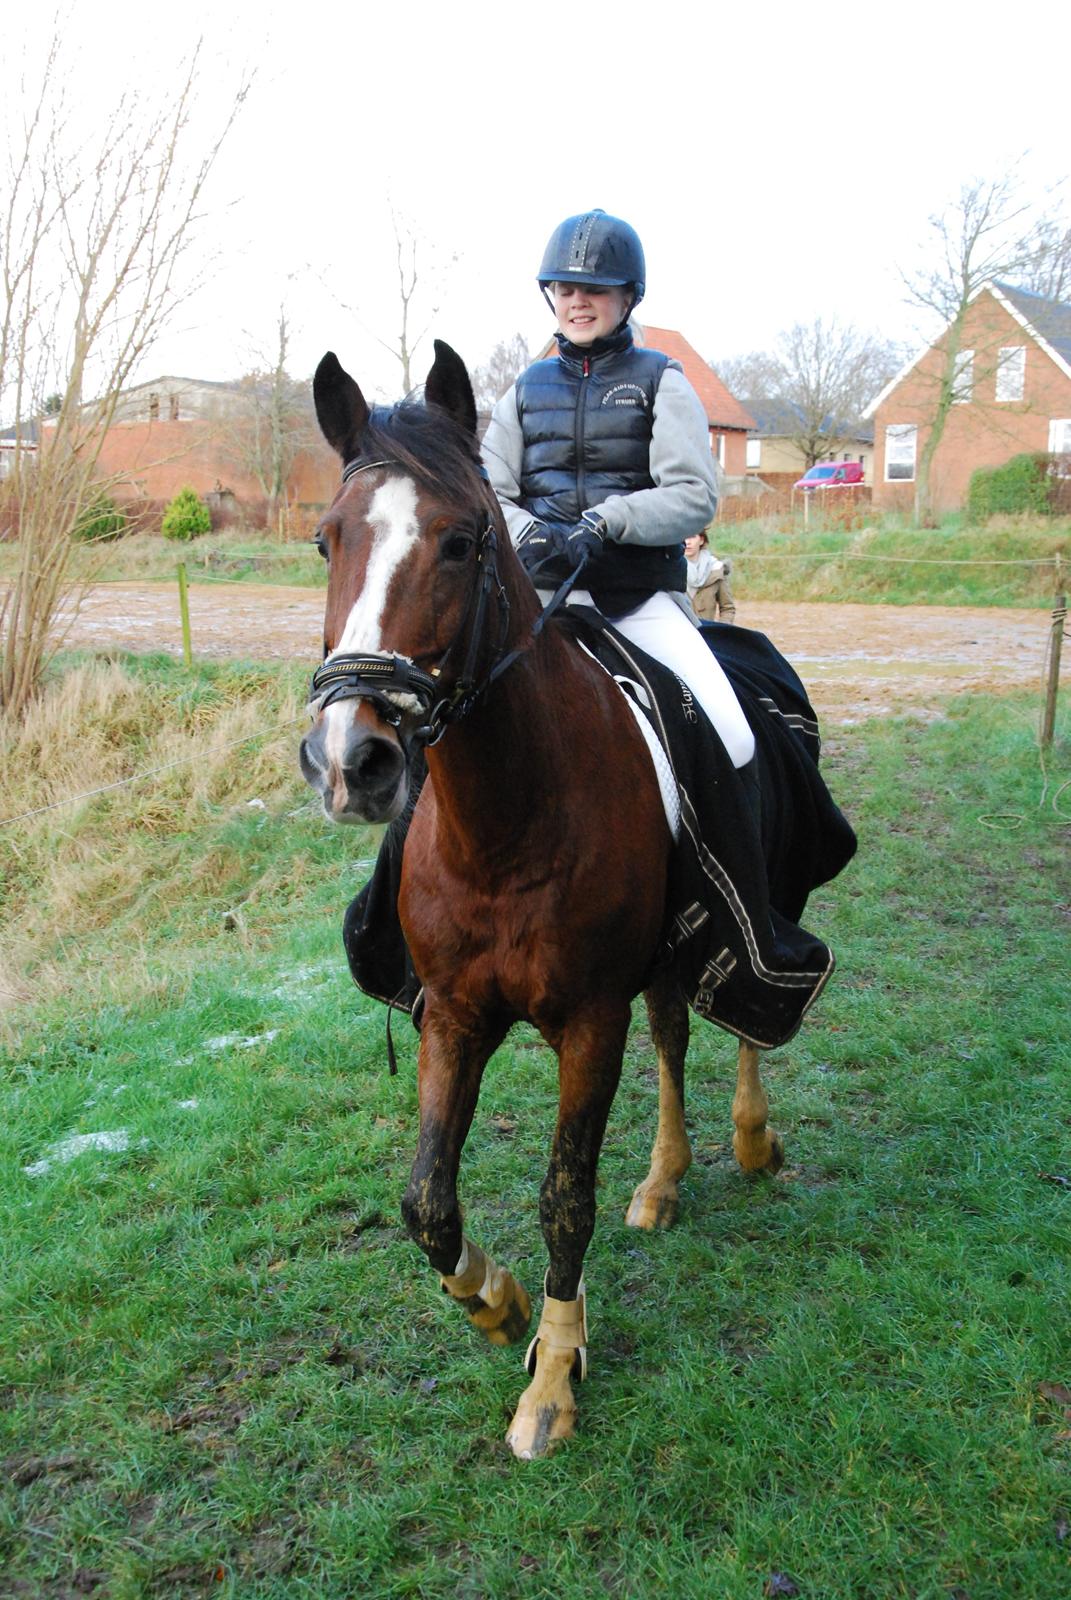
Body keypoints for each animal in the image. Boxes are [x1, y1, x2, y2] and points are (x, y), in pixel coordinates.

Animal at [299, 340, 832, 1465]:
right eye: (328, 540)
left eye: (460, 543)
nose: (351, 761)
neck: (505, 823)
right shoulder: (455, 1017)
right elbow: (426, 1200)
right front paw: (494, 1304)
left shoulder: (586, 1020)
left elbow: (563, 1199)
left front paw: (552, 1376)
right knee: (676, 1029)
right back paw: (665, 1180)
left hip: (763, 902)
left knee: (750, 1013)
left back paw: (751, 1140)